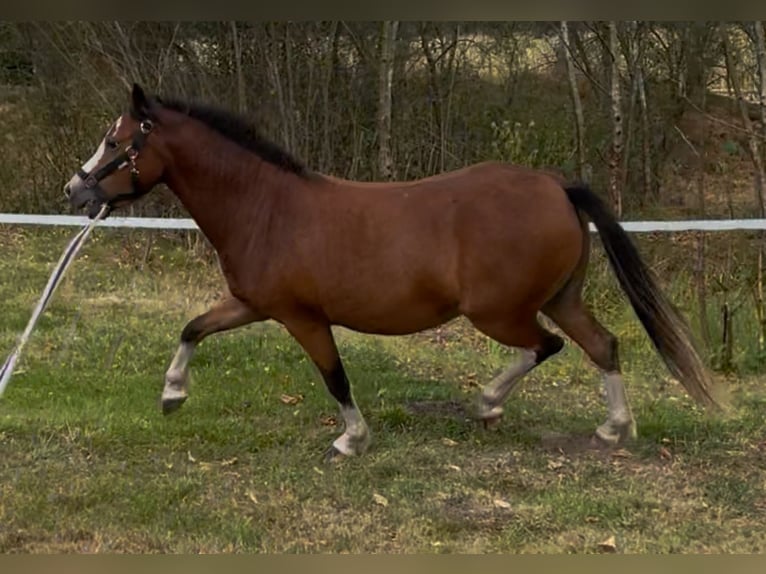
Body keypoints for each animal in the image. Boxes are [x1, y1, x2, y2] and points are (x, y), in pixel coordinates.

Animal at [64, 83, 722, 461]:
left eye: (115, 141)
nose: (75, 189)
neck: (265, 207)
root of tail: (556, 185)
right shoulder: (253, 304)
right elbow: (193, 327)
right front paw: (172, 394)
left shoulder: (302, 318)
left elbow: (335, 378)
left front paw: (351, 440)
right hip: (560, 297)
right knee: (602, 344)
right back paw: (610, 429)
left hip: (500, 313)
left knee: (549, 346)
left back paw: (490, 402)